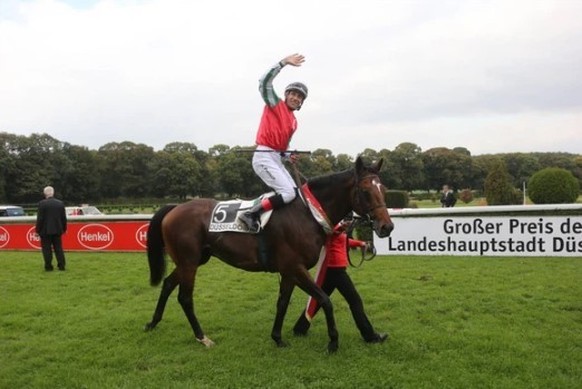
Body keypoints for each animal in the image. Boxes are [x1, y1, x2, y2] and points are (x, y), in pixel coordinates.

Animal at [144, 155, 394, 352]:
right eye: (365, 191)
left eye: (384, 190)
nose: (387, 227)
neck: (308, 213)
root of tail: (175, 208)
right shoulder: (296, 267)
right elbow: (324, 299)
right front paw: (333, 342)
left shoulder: (288, 271)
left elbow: (282, 302)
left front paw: (277, 338)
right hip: (189, 262)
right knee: (185, 297)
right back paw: (202, 337)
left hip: (193, 260)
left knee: (168, 283)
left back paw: (153, 323)